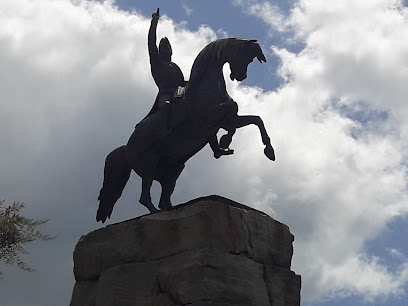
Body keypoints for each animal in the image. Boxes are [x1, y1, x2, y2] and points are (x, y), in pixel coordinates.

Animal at [95, 37, 274, 222]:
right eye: (245, 56)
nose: (241, 76)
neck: (205, 87)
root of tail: (126, 148)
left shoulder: (224, 121)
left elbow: (255, 119)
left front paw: (269, 151)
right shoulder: (208, 116)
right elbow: (233, 107)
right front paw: (225, 140)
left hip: (174, 169)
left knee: (164, 199)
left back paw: (173, 209)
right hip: (149, 164)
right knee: (145, 197)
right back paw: (156, 213)